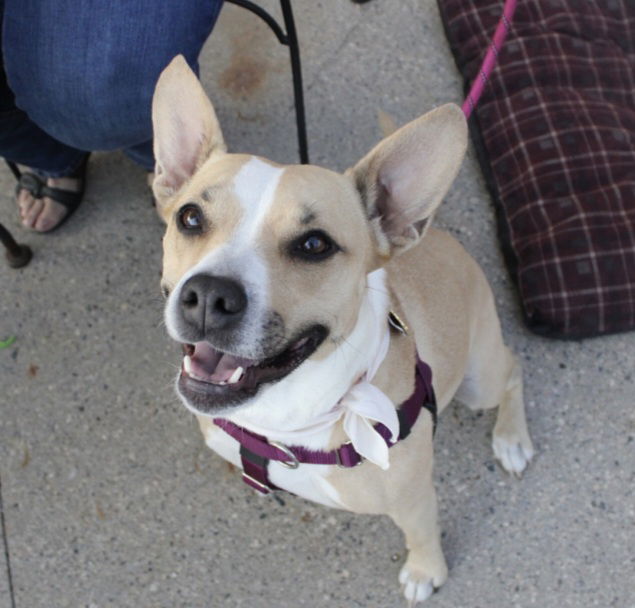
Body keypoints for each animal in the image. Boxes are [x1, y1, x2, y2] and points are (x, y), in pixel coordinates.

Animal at [152, 55, 536, 604]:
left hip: (478, 380)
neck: (285, 419)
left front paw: (425, 570)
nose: (208, 297)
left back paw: (511, 439)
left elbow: (422, 533)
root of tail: (437, 233)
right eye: (189, 217)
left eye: (314, 245)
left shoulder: (415, 498)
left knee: (512, 371)